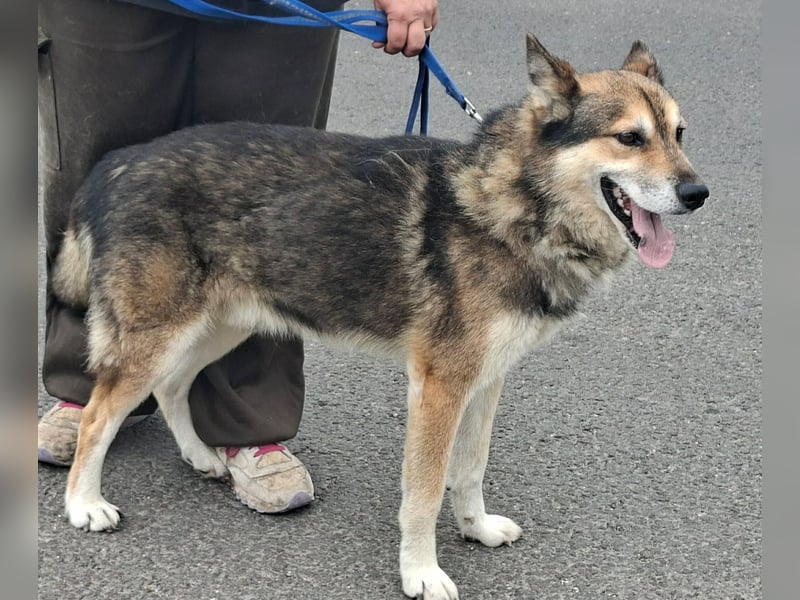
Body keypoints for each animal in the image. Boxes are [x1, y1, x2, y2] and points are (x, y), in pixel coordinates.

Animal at [51, 34, 707, 599]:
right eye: (629, 138)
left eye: (678, 134)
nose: (698, 193)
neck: (514, 203)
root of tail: (117, 162)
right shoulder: (440, 387)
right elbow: (424, 492)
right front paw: (420, 572)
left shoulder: (486, 380)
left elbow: (470, 469)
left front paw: (476, 528)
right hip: (162, 334)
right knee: (100, 415)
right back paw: (84, 504)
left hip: (222, 325)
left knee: (171, 386)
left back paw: (203, 457)